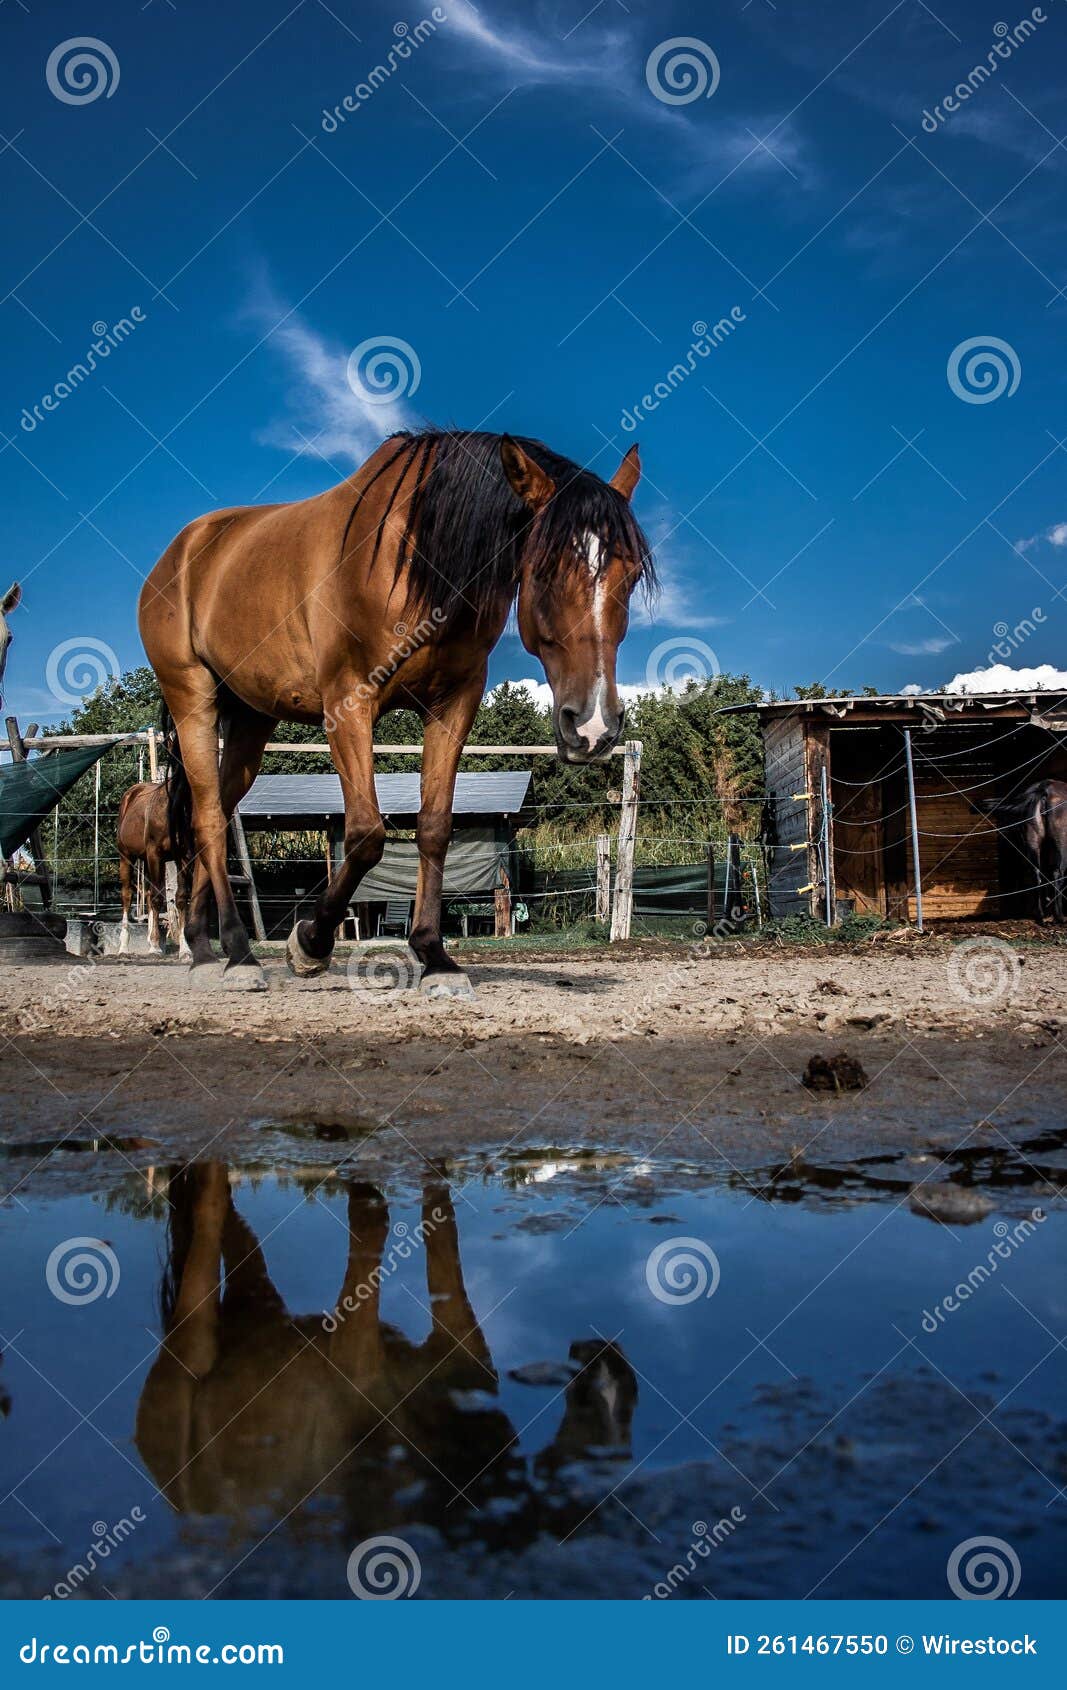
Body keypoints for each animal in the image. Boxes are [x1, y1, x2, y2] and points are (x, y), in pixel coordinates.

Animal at [115, 781, 191, 957]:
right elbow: (157, 898)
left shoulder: (183, 856)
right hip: (127, 857)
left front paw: (185, 949)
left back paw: (149, 941)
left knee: (148, 895)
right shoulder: (155, 854)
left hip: (147, 860)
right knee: (127, 895)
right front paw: (156, 947)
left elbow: (181, 898)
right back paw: (124, 947)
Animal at [135, 1164, 637, 1561]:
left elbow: (440, 1220)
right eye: (592, 1401)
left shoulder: (455, 1345)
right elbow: (374, 1221)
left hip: (259, 1314)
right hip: (188, 1355)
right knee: (207, 1214)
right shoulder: (354, 1363)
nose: (603, 1352)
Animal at [138, 428, 651, 991]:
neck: (414, 561)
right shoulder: (349, 704)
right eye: (544, 569)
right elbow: (366, 835)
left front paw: (434, 956)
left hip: (251, 718)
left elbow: (435, 827)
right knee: (210, 818)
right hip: (193, 698)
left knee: (210, 815)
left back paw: (203, 948)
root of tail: (181, 551)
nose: (594, 727)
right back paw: (237, 954)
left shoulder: (452, 705)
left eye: (630, 575)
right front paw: (309, 943)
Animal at [980, 778, 1067, 921]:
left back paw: (1040, 914)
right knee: (1057, 873)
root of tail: (1044, 790)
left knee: (1037, 874)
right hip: (1062, 843)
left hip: (1034, 840)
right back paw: (1059, 916)